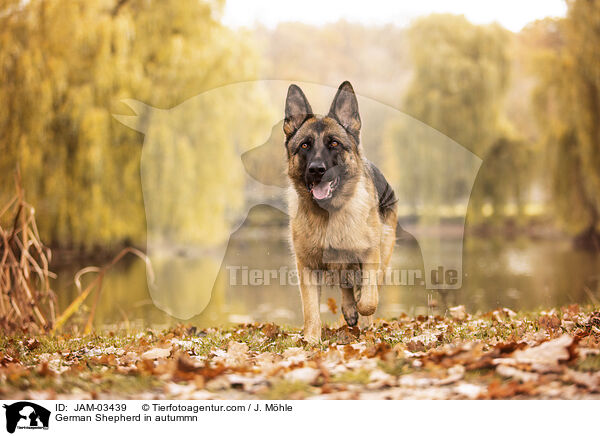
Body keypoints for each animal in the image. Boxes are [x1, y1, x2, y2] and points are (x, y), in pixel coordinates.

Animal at [284, 80, 396, 342]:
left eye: (334, 143)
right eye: (305, 145)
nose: (317, 170)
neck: (329, 214)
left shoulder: (370, 255)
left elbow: (369, 299)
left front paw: (362, 308)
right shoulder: (306, 266)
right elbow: (310, 310)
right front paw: (311, 340)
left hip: (384, 252)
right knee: (345, 282)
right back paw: (349, 309)